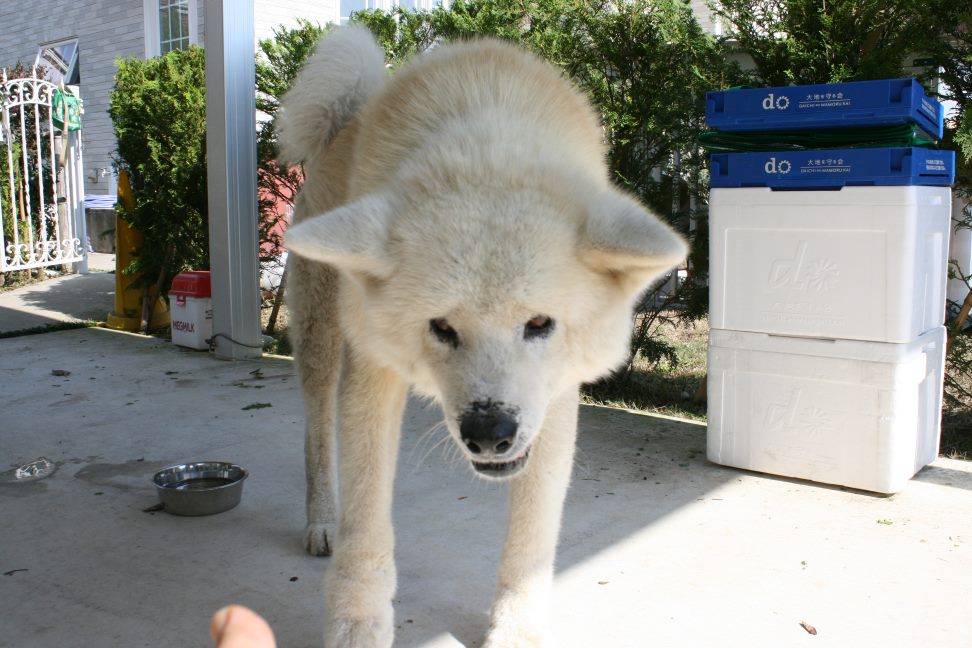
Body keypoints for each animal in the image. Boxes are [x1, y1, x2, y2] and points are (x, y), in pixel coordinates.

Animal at [278, 26, 688, 648]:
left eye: (539, 324)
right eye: (441, 327)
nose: (489, 434)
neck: (488, 143)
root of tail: (345, 115)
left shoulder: (554, 400)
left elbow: (533, 537)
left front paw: (516, 628)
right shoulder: (375, 374)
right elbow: (366, 522)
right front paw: (358, 622)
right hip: (322, 334)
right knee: (317, 431)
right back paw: (322, 518)